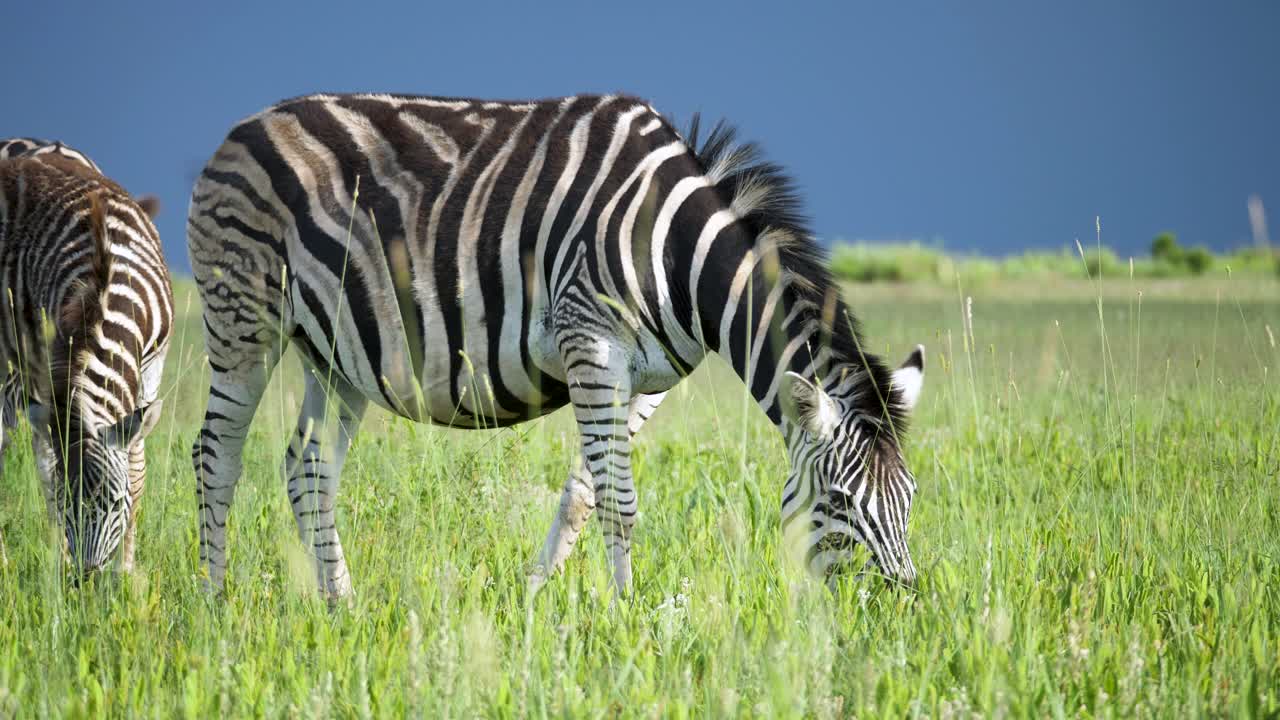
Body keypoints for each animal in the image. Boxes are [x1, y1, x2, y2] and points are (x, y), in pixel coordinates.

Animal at [0, 145, 173, 573]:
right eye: (69, 507)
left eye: (115, 503)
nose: (86, 577)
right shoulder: (53, 364)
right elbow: (51, 471)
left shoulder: (152, 366)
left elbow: (136, 468)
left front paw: (126, 570)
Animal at [187, 93, 926, 599]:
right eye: (840, 503)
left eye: (911, 499)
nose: (901, 609)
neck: (677, 254)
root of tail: (241, 128)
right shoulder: (590, 343)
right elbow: (621, 503)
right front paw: (630, 617)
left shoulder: (647, 379)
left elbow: (584, 493)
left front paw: (533, 598)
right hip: (244, 319)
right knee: (215, 456)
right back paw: (216, 604)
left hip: (335, 349)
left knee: (308, 467)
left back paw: (341, 606)